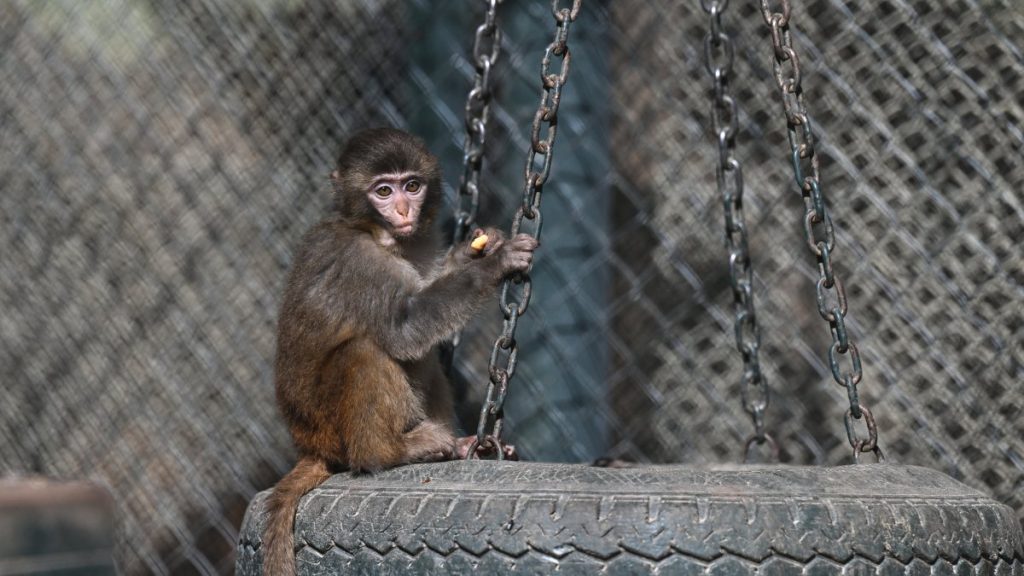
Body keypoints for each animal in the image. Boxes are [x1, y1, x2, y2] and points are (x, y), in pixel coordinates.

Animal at [262, 128, 537, 576]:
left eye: (412, 185)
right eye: (383, 191)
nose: (405, 209)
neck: (379, 235)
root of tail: (310, 446)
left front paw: (474, 249)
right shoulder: (359, 262)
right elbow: (405, 329)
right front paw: (494, 263)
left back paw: (464, 446)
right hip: (329, 428)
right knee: (365, 351)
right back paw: (385, 452)